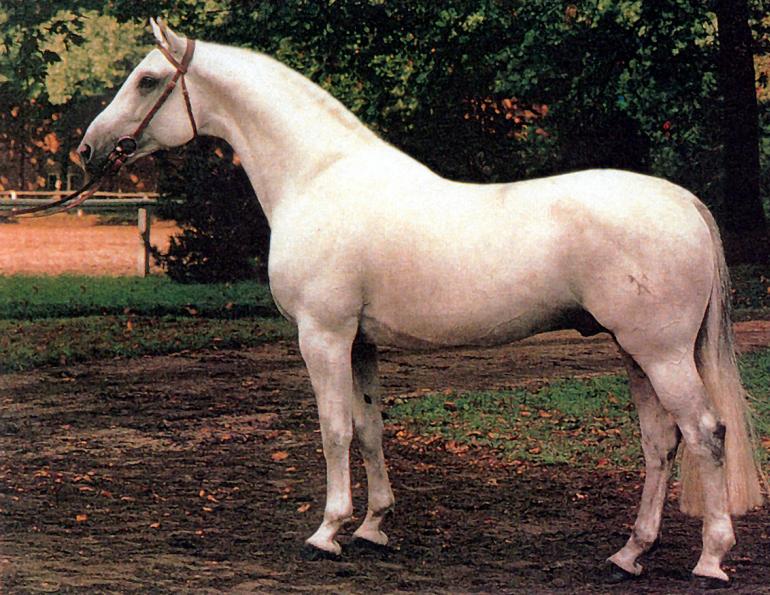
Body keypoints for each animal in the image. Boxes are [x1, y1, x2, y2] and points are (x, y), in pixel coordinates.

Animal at [76, 18, 763, 584]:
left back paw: (710, 558)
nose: (88, 148)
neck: (319, 177)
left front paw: (327, 531)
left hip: (662, 354)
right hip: (634, 352)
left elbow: (333, 429)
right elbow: (369, 428)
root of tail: (682, 200)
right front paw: (373, 526)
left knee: (706, 434)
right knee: (660, 442)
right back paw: (629, 553)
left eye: (148, 80)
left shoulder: (322, 336)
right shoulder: (359, 344)